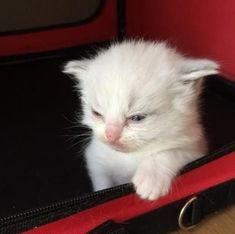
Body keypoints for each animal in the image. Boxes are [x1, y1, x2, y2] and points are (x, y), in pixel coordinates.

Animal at [63, 40, 218, 201]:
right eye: (97, 114)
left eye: (137, 118)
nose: (111, 135)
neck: (128, 156)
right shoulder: (96, 159)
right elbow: (102, 186)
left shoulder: (197, 152)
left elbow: (172, 152)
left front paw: (151, 178)